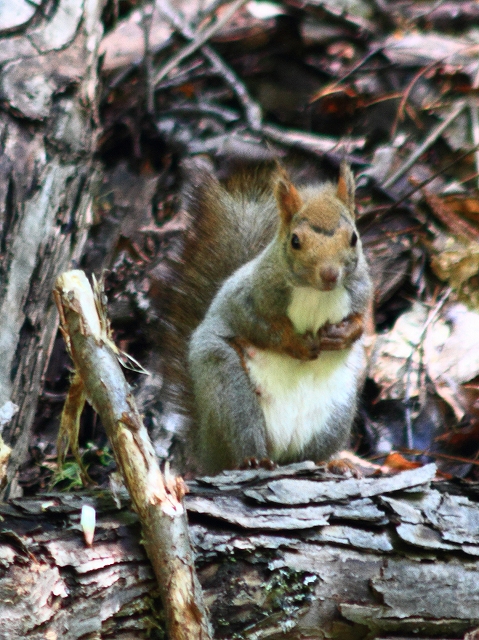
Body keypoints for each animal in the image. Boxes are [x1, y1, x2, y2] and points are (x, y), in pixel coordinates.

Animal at [159, 160, 374, 476]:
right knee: (244, 439)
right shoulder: (247, 297)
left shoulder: (361, 292)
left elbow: (361, 323)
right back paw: (253, 460)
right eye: (295, 241)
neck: (315, 293)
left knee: (312, 454)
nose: (329, 274)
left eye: (354, 237)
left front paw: (342, 335)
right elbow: (257, 325)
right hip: (230, 390)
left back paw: (334, 462)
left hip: (337, 411)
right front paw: (297, 344)